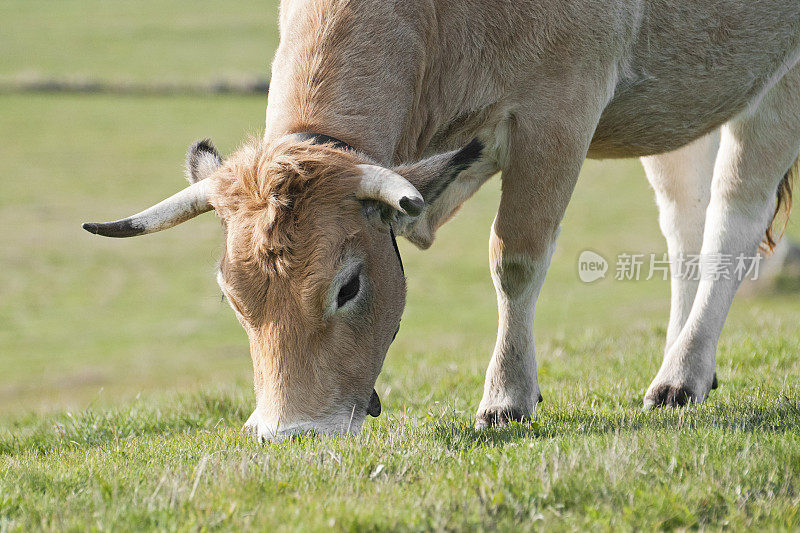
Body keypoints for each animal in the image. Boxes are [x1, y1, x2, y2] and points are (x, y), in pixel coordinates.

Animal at [83, 0, 800, 438]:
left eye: (348, 286)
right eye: (232, 295)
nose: (292, 432)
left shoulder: (559, 108)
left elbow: (516, 257)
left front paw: (507, 397)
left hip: (778, 82)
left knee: (733, 220)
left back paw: (680, 376)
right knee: (685, 227)